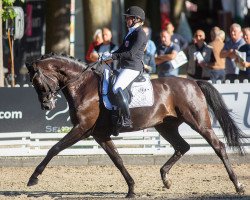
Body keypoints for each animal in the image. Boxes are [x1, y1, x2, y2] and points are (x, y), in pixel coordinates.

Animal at [26, 53, 245, 198]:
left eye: (38, 82)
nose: (46, 106)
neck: (84, 87)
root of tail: (193, 82)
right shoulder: (99, 135)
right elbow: (118, 160)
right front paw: (131, 188)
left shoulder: (82, 128)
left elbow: (55, 148)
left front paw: (33, 178)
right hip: (166, 126)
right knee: (182, 146)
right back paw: (165, 178)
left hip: (198, 122)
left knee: (218, 147)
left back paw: (238, 185)